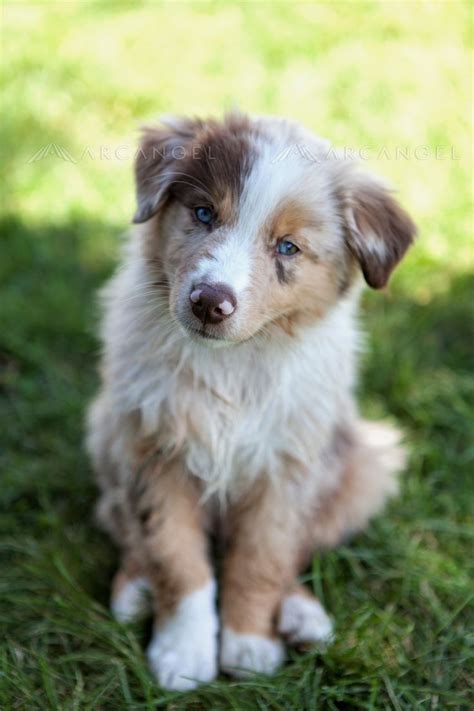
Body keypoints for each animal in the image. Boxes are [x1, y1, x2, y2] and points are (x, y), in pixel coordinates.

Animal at [86, 114, 414, 692]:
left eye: (288, 247)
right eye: (203, 214)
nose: (209, 302)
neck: (234, 363)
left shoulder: (286, 467)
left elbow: (262, 559)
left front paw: (248, 645)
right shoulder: (155, 449)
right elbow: (175, 556)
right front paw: (182, 654)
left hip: (363, 461)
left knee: (301, 548)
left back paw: (303, 615)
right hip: (107, 431)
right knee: (122, 521)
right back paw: (134, 590)